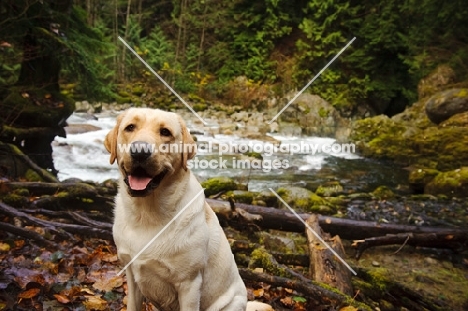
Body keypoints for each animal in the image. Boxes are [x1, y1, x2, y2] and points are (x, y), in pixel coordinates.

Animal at [104, 109, 272, 311]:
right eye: (130, 127)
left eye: (165, 132)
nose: (140, 152)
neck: (146, 214)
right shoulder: (132, 274)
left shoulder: (189, 284)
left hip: (231, 302)